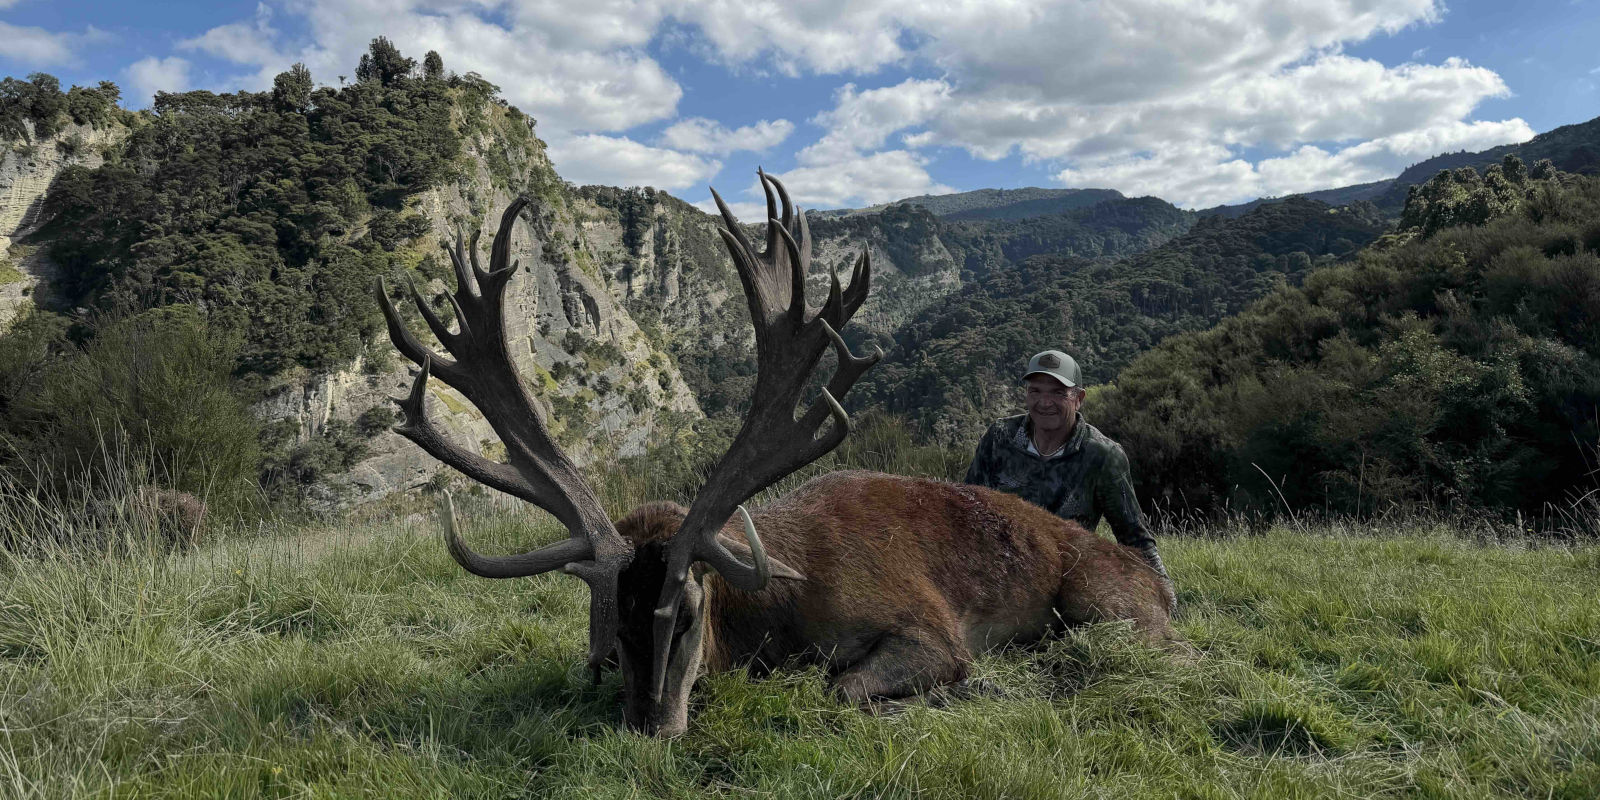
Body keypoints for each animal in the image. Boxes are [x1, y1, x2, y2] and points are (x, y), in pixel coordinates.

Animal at [375, 172, 1178, 736]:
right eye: (607, 618)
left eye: (688, 610)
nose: (650, 725)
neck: (777, 618)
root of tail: (1151, 575)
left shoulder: (932, 629)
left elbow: (844, 685)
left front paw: (957, 690)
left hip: (1107, 604)